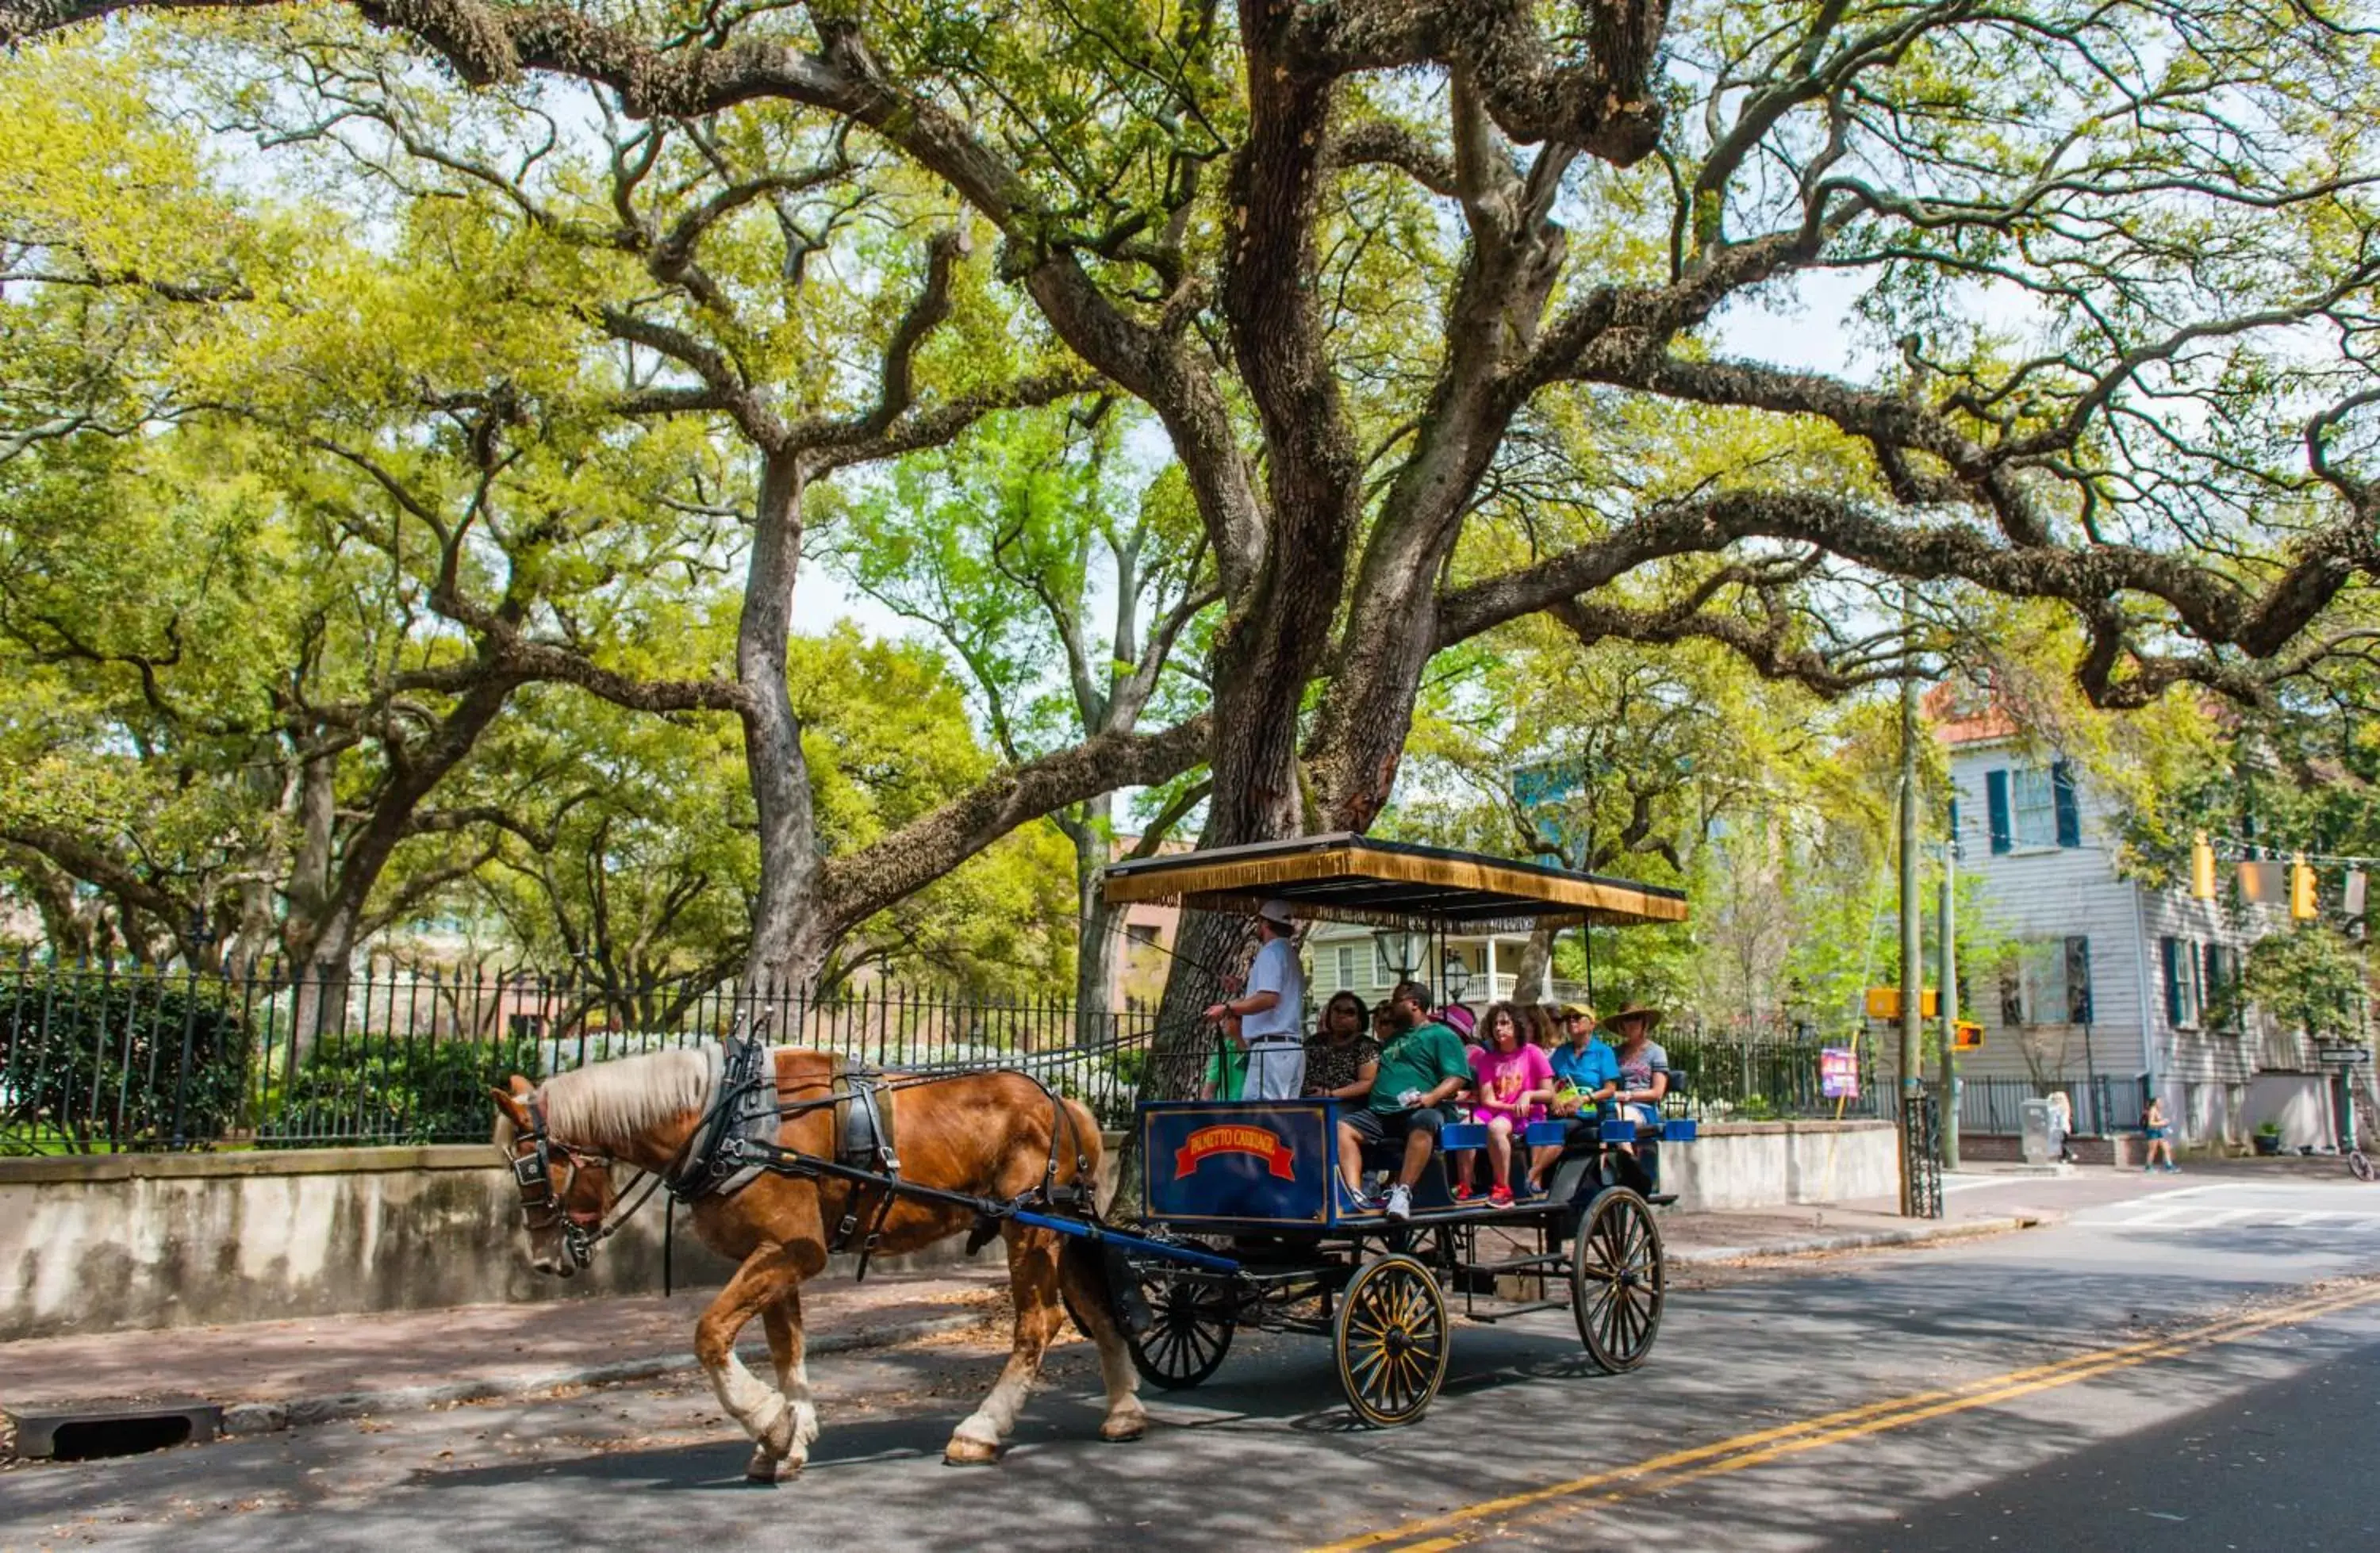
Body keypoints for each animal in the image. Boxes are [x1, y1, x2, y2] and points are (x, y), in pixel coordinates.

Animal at [490, 1041, 1142, 1474]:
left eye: (531, 1169)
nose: (544, 1260)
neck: (731, 1120)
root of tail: (1068, 1105)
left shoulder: (791, 1251)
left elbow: (710, 1334)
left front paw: (770, 1423)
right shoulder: (774, 1255)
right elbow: (787, 1348)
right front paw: (789, 1433)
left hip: (1028, 1230)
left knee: (1039, 1323)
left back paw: (981, 1429)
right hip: (1064, 1230)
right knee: (1098, 1311)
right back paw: (1124, 1410)